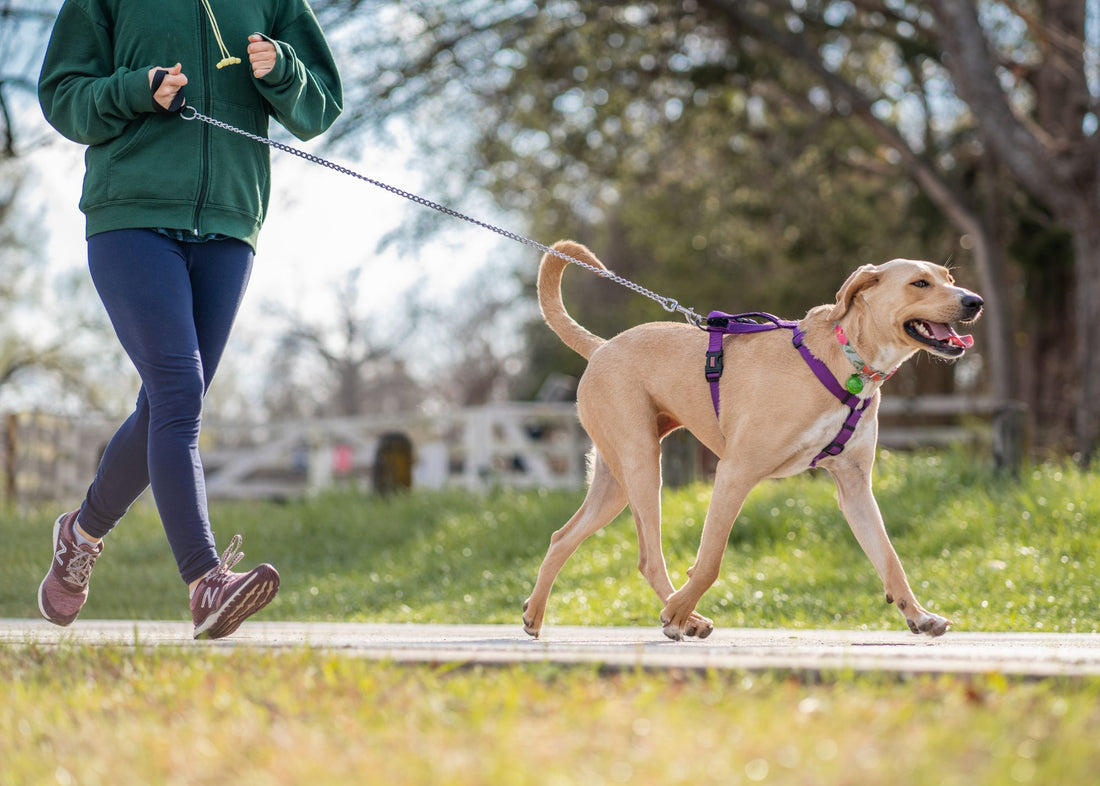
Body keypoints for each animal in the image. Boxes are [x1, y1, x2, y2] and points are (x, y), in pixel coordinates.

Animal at [525, 241, 990, 637]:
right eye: (920, 283)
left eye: (949, 277)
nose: (975, 301)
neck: (848, 361)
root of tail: (601, 347)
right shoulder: (734, 472)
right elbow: (710, 561)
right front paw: (676, 613)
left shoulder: (855, 486)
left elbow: (889, 557)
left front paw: (919, 615)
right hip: (641, 464)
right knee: (648, 557)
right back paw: (685, 616)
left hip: (614, 481)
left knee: (562, 537)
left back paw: (534, 614)